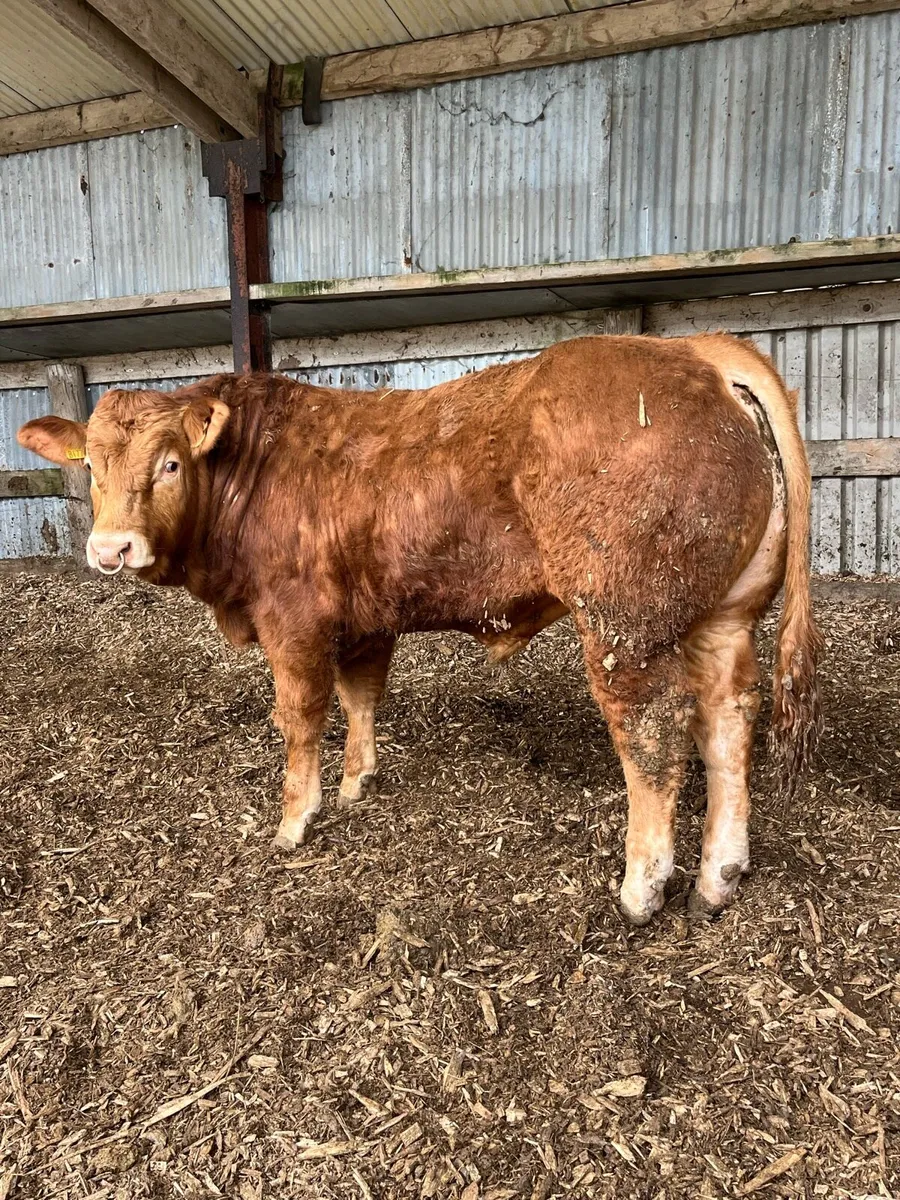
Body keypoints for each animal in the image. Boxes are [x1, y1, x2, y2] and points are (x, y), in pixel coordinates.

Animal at [19, 334, 821, 925]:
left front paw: (296, 819)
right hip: (723, 616)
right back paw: (718, 876)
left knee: (653, 736)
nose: (111, 548)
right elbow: (361, 696)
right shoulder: (365, 620)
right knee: (727, 719)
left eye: (170, 463)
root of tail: (695, 349)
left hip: (625, 624)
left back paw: (642, 887)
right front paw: (356, 782)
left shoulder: (293, 620)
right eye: (92, 466)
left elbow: (301, 717)